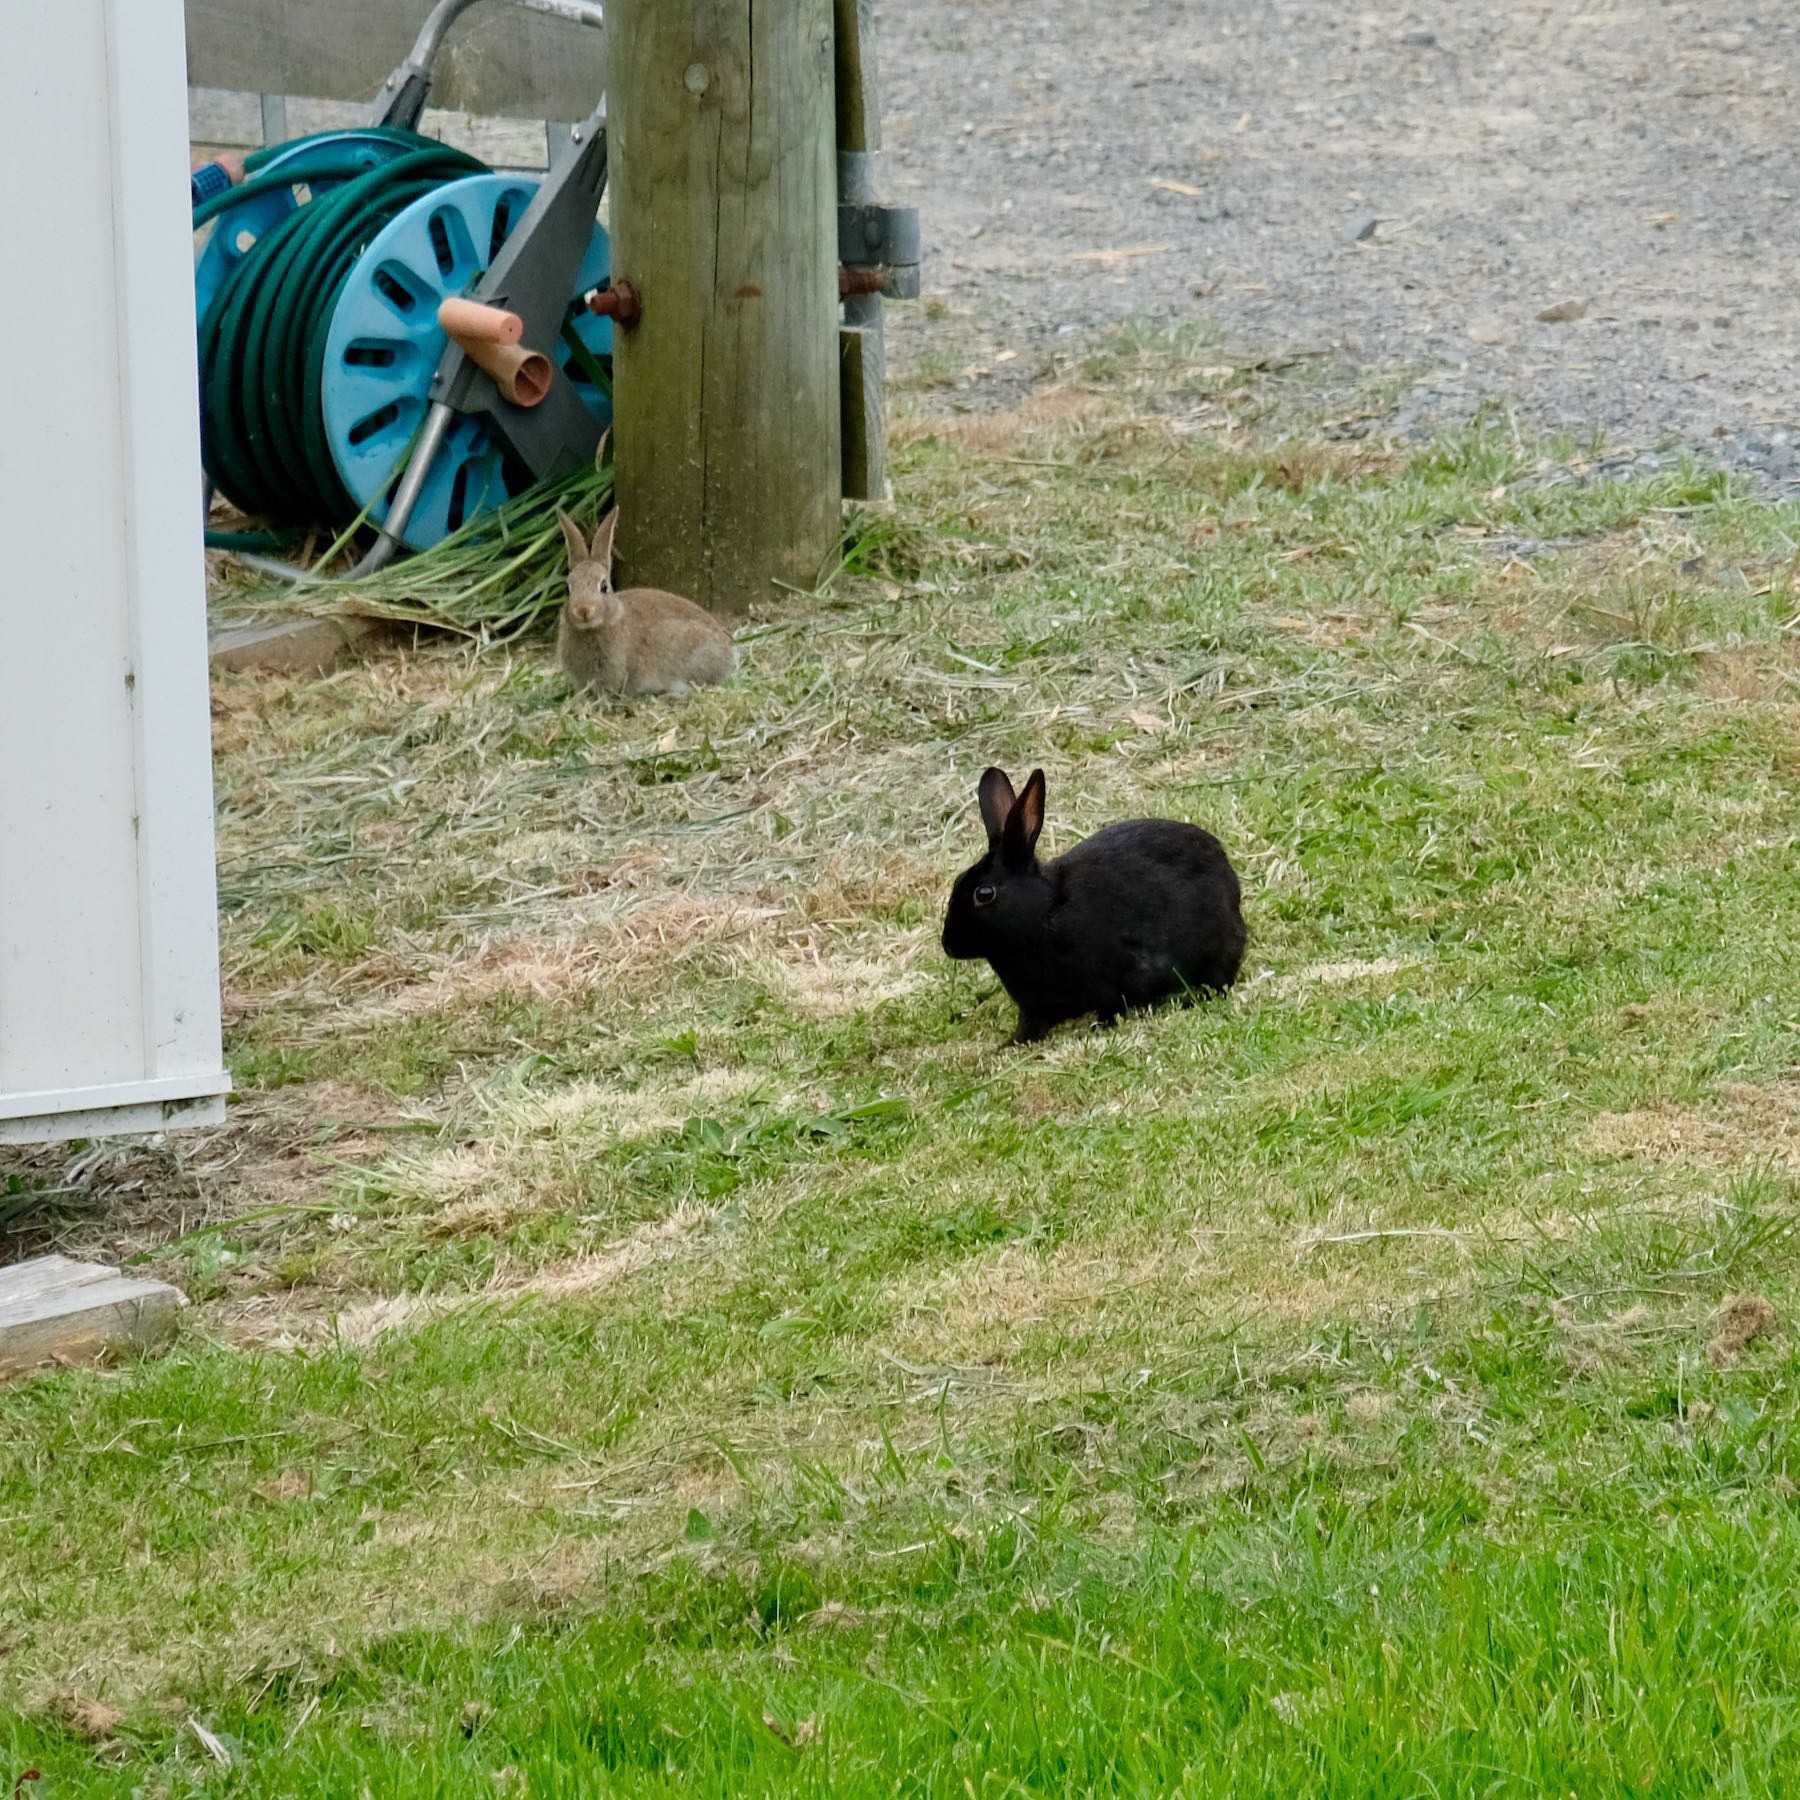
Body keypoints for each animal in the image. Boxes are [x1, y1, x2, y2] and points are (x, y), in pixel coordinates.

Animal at [943, 770, 1252, 1051]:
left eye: (984, 894)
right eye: (957, 881)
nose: (948, 945)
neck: (1046, 911)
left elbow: (1113, 1005)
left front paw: (1098, 1027)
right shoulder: (1034, 1006)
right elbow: (1030, 1026)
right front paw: (1007, 1046)